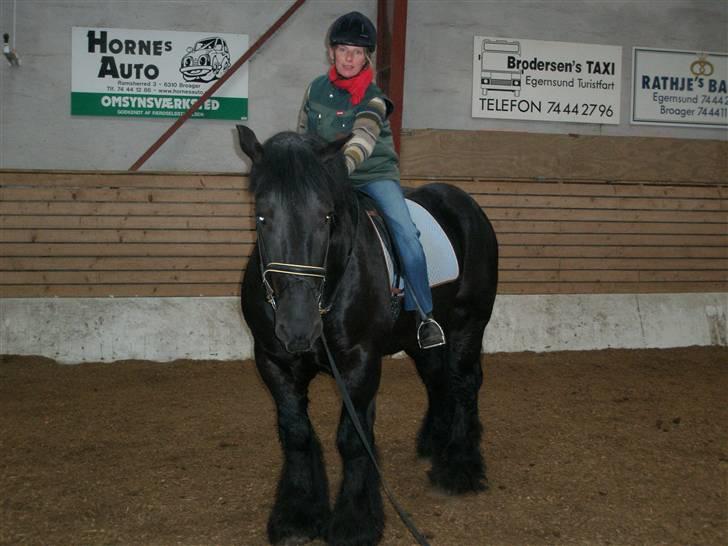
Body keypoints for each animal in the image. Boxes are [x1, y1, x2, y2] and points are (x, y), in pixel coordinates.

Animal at [236, 125, 498, 540]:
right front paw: (297, 514)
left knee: (464, 384)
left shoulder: (359, 364)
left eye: (326, 216)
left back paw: (460, 466)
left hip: (468, 324)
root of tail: (465, 204)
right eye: (262, 216)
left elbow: (353, 439)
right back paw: (434, 442)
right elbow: (296, 433)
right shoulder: (274, 362)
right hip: (423, 339)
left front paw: (355, 521)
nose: (297, 326)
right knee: (439, 380)